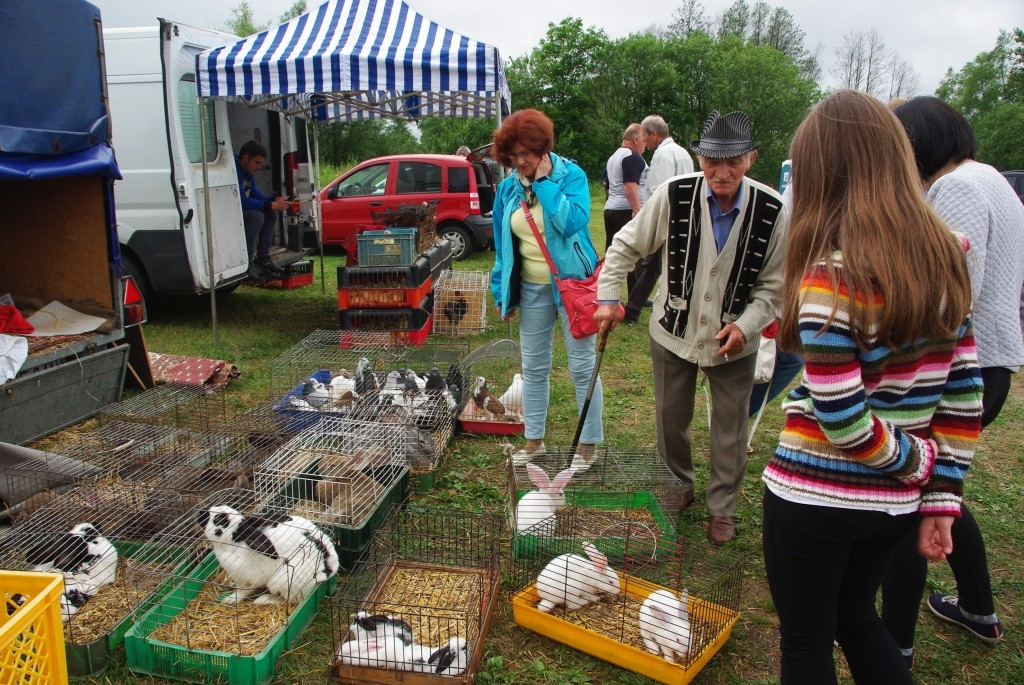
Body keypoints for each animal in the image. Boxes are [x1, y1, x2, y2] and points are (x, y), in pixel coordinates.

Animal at [198, 501, 339, 602]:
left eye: (219, 521)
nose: (200, 512)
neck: (235, 543)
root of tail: (329, 566)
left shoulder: (246, 580)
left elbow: (242, 592)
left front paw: (229, 600)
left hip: (283, 582)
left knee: (290, 600)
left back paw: (263, 600)